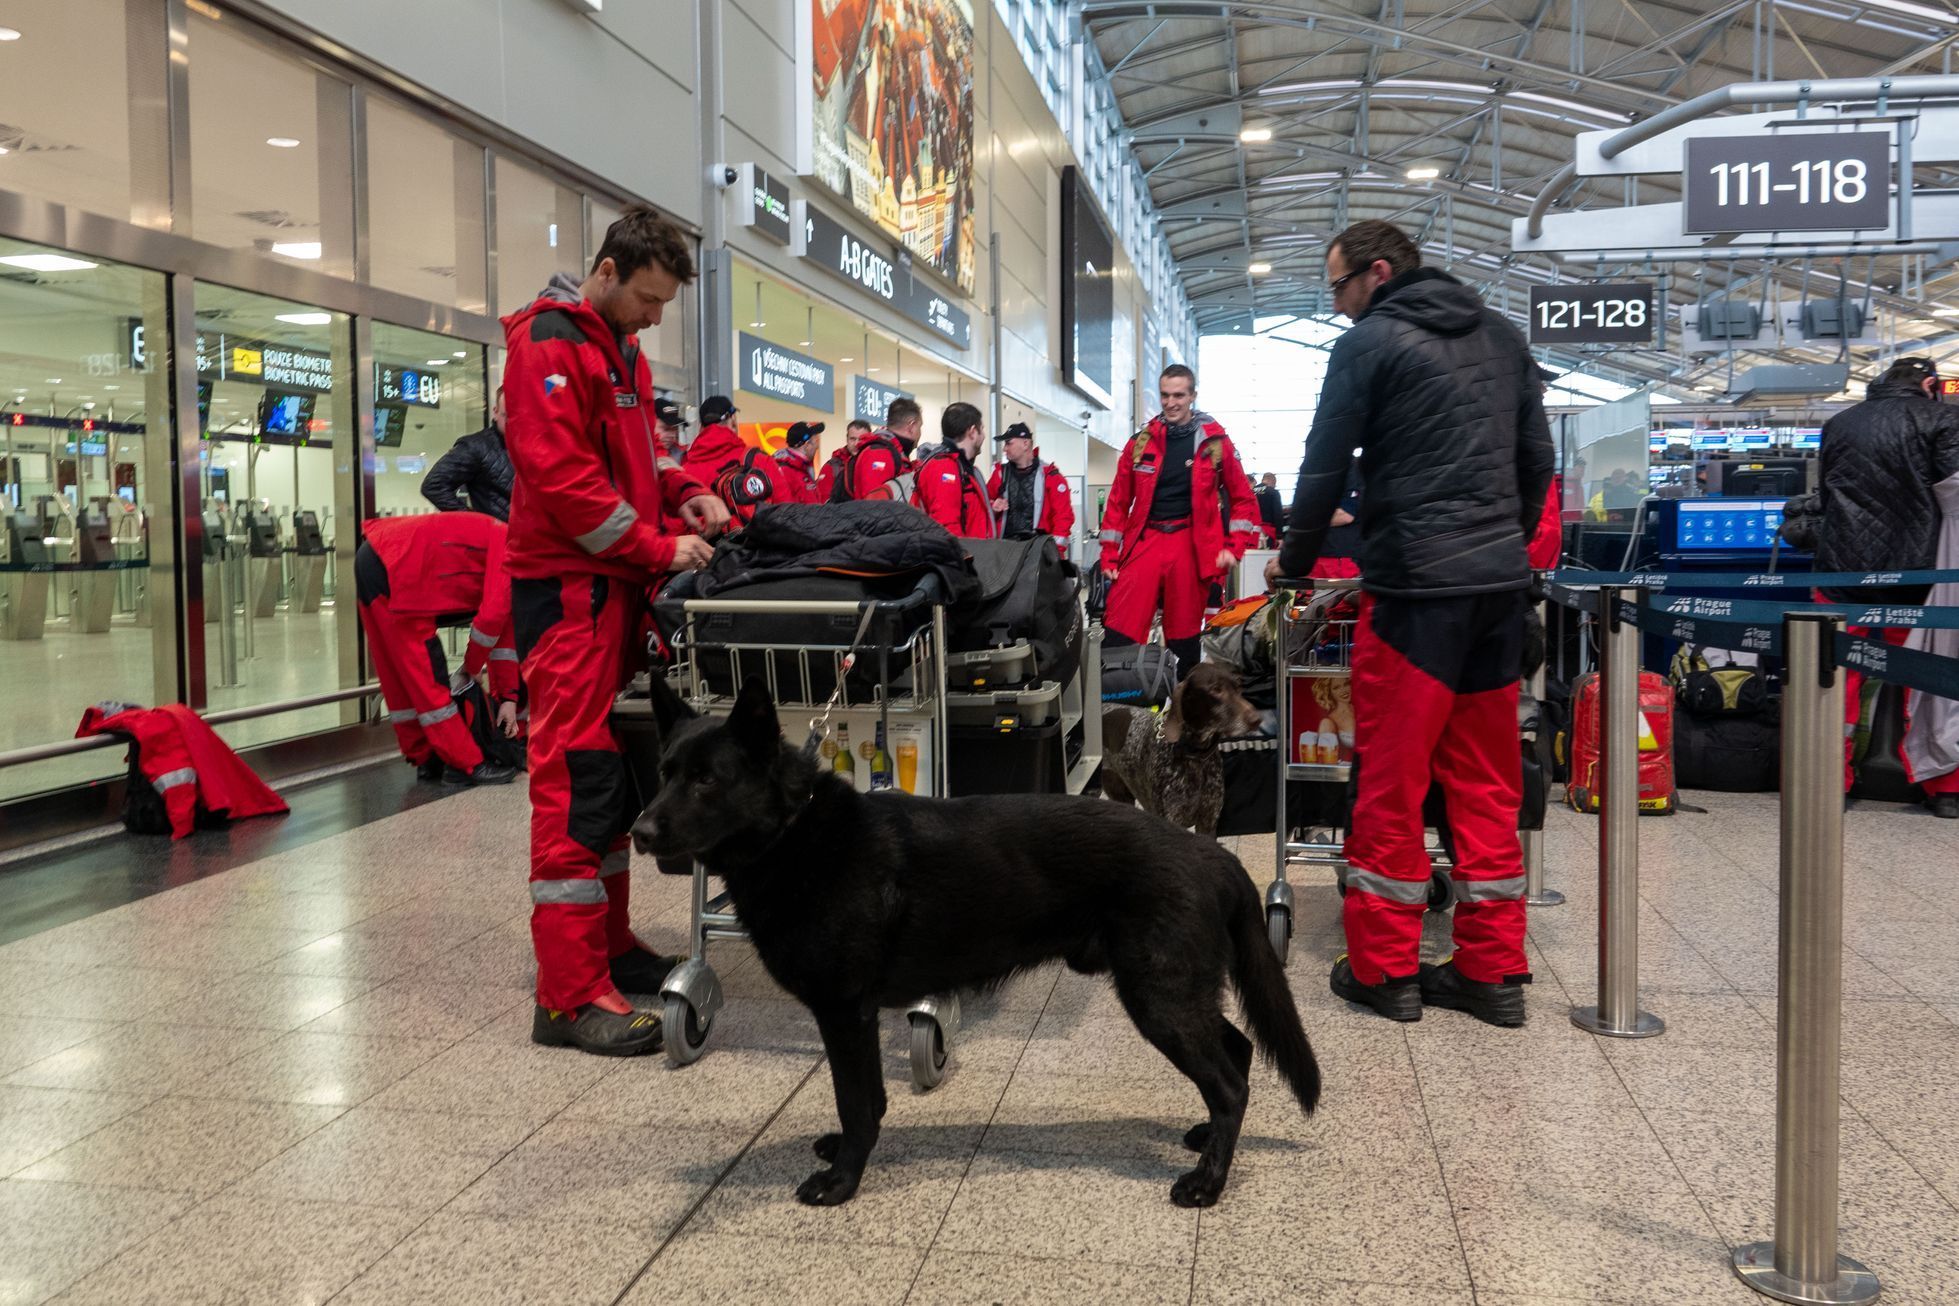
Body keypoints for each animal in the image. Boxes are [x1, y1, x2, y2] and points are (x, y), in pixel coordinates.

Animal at [1104, 665, 1253, 838]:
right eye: (1216, 690)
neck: (1194, 757)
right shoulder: (1171, 820)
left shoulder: (1208, 821)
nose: (1256, 719)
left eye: (1238, 686)